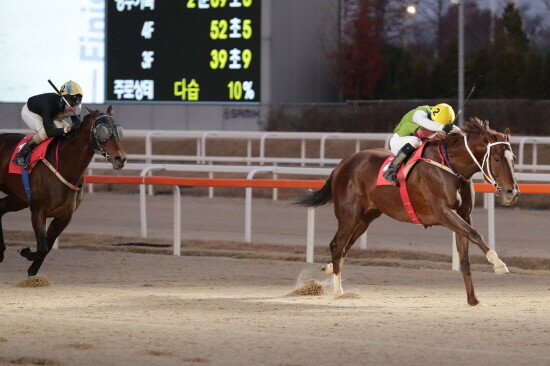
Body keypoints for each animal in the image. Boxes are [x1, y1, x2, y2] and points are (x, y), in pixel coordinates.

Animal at [0, 106, 125, 274]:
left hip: (19, 198)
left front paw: (32, 269)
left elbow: (46, 248)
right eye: (103, 130)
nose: (120, 158)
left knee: (1, 207)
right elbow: (42, 247)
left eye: (118, 130)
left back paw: (1, 250)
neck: (66, 166)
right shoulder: (38, 210)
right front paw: (24, 251)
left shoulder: (64, 216)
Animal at [300, 118, 520, 306]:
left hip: (366, 217)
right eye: (497, 158)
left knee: (346, 246)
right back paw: (338, 291)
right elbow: (475, 233)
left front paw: (472, 299)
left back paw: (330, 269)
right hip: (349, 215)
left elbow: (465, 257)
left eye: (514, 158)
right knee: (337, 245)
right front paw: (499, 264)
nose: (512, 192)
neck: (451, 167)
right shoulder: (443, 212)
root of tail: (341, 165)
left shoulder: (463, 215)